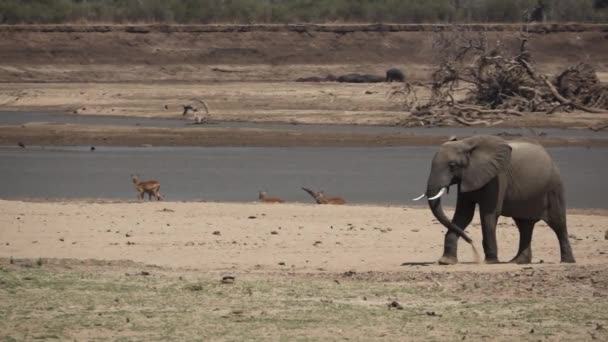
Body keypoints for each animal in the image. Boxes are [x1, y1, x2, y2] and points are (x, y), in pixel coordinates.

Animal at [414, 136, 576, 264]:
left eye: (452, 165)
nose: (471, 242)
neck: (467, 144)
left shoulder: (497, 178)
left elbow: (488, 214)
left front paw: (490, 261)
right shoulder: (467, 177)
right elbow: (463, 214)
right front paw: (446, 261)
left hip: (554, 187)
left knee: (558, 223)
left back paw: (567, 262)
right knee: (524, 225)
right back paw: (518, 261)